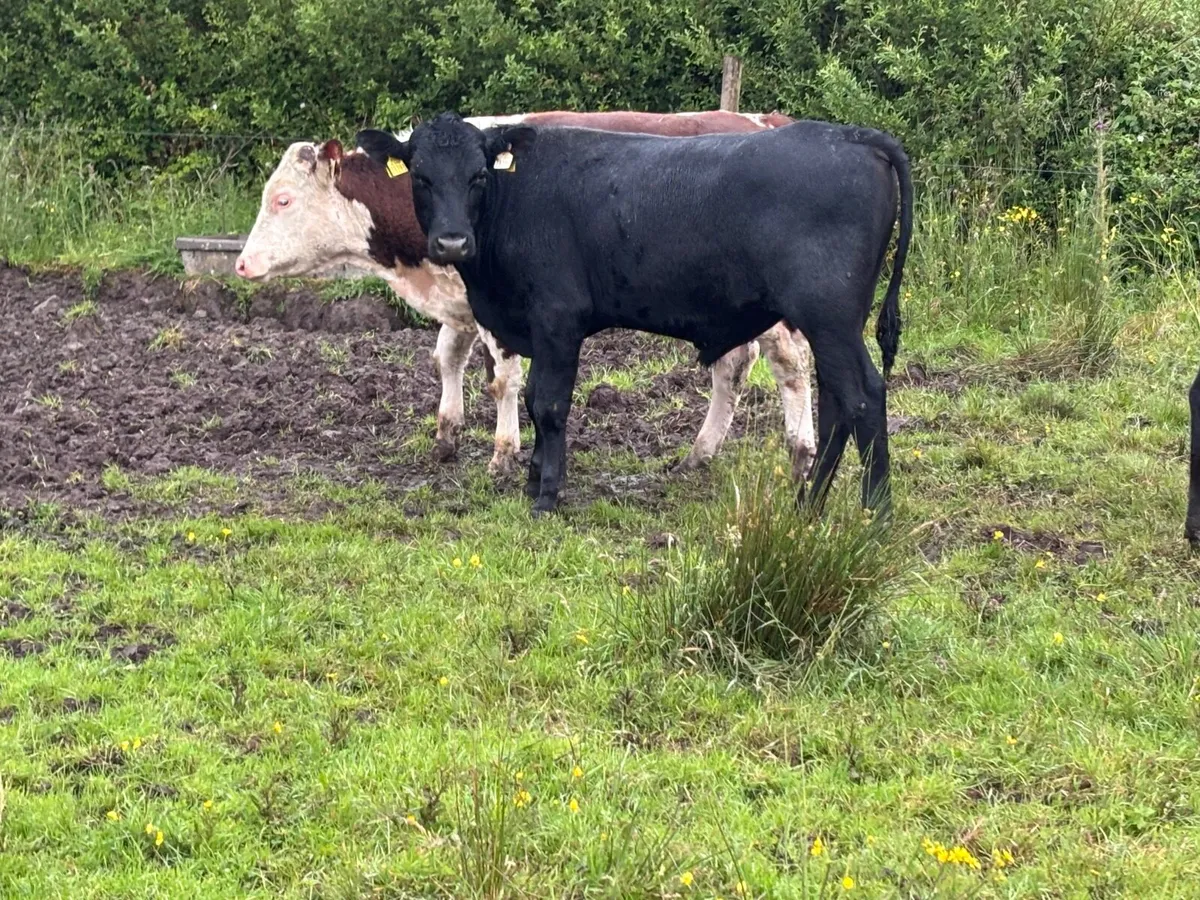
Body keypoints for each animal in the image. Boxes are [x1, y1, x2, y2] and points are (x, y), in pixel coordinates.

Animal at [236, 111, 817, 480]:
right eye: (420, 175)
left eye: (283, 200)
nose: (241, 262)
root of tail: (762, 121)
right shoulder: (463, 304)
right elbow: (446, 359)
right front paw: (446, 436)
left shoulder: (505, 310)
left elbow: (504, 380)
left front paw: (503, 454)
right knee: (733, 366)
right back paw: (700, 452)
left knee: (791, 366)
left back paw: (800, 453)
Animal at [355, 113, 912, 514]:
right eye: (421, 177)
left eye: (477, 175)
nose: (452, 242)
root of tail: (852, 135)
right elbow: (533, 400)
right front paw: (534, 477)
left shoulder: (558, 319)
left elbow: (549, 404)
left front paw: (547, 495)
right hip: (834, 326)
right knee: (839, 403)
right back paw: (808, 505)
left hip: (829, 319)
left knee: (863, 397)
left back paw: (875, 514)